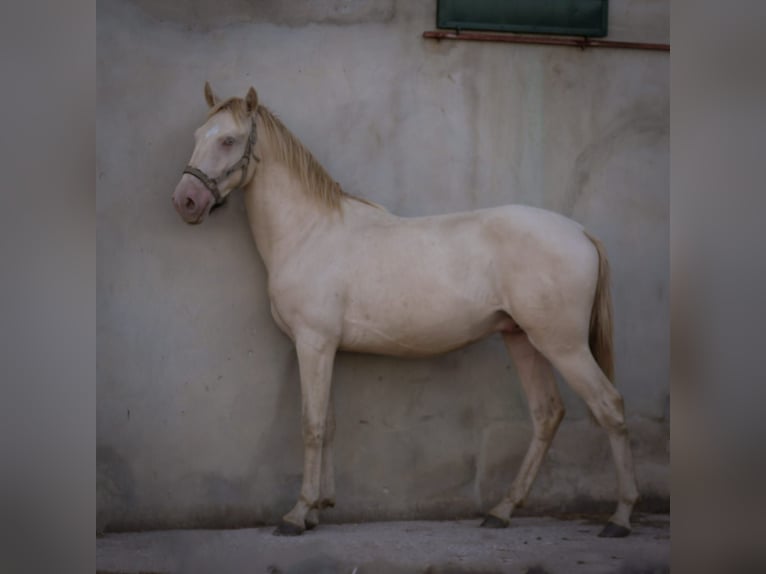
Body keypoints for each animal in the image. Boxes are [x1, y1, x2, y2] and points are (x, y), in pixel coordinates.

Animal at [172, 84, 640, 540]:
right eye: (198, 136)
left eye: (229, 140)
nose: (186, 201)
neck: (309, 232)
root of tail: (579, 231)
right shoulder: (327, 349)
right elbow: (330, 425)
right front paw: (319, 509)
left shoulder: (313, 344)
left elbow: (311, 425)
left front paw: (297, 514)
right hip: (522, 338)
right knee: (547, 414)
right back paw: (502, 510)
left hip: (562, 345)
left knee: (609, 406)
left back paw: (619, 517)